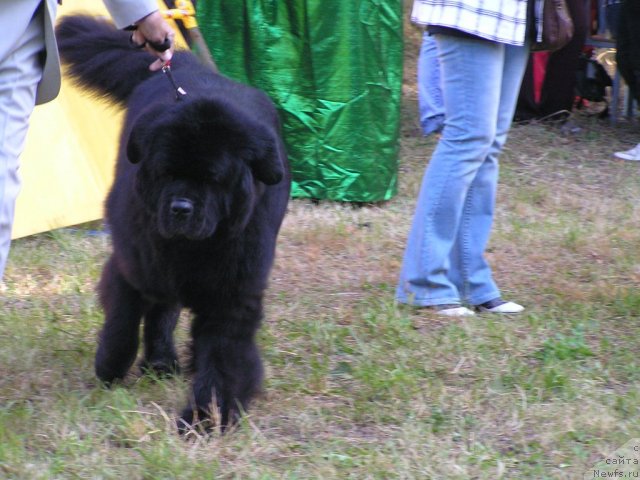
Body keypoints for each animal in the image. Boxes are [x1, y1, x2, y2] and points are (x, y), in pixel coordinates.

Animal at [56, 16, 292, 430]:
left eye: (213, 179)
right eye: (166, 172)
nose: (182, 207)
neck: (195, 248)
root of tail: (183, 64)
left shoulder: (234, 290)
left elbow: (223, 354)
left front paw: (206, 418)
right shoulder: (135, 263)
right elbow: (123, 322)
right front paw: (110, 366)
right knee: (160, 311)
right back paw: (160, 361)